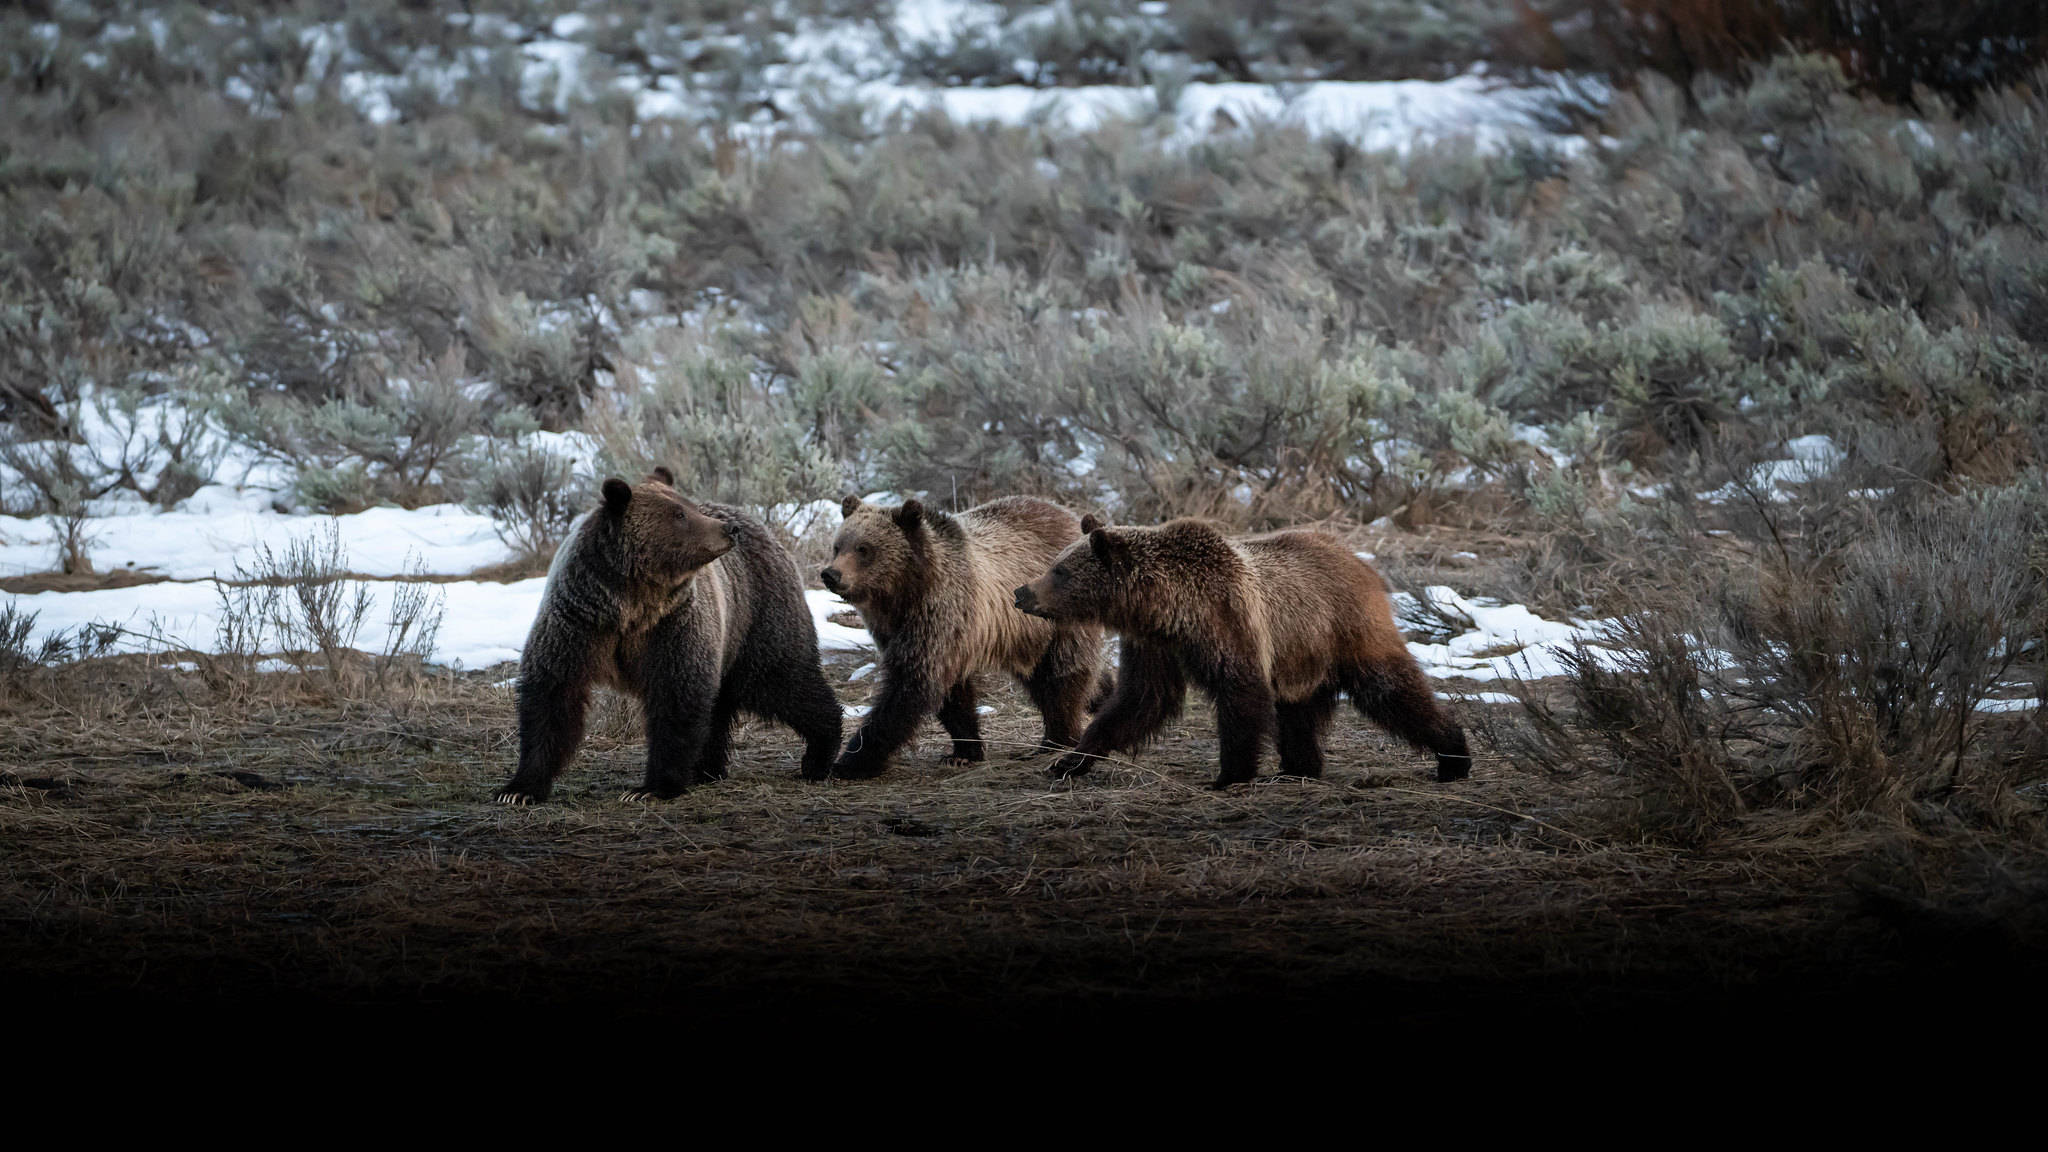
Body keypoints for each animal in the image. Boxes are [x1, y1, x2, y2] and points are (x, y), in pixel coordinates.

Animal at [493, 463, 839, 799]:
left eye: (690, 506)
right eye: (679, 514)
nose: (728, 529)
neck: (631, 604)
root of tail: (761, 525)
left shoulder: (673, 625)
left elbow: (677, 696)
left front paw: (650, 788)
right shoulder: (578, 620)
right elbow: (552, 694)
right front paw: (519, 789)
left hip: (755, 613)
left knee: (781, 680)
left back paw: (819, 754)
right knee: (727, 701)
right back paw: (706, 769)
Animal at [815, 496, 1105, 774]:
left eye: (864, 548)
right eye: (838, 546)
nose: (831, 574)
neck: (904, 592)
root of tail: (1070, 517)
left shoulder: (938, 615)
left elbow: (908, 687)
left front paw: (850, 761)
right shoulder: (906, 632)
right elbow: (953, 697)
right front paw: (964, 752)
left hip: (1056, 620)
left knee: (1061, 676)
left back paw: (1056, 739)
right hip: (1027, 636)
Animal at [1011, 516, 1474, 783]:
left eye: (1059, 570)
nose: (1021, 592)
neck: (1167, 608)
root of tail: (1362, 563)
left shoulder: (1228, 620)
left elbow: (1241, 694)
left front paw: (1229, 774)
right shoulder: (1153, 644)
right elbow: (1139, 699)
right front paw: (1071, 760)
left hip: (1346, 628)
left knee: (1390, 688)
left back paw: (1453, 756)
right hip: (1302, 656)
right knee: (1299, 712)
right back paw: (1298, 767)